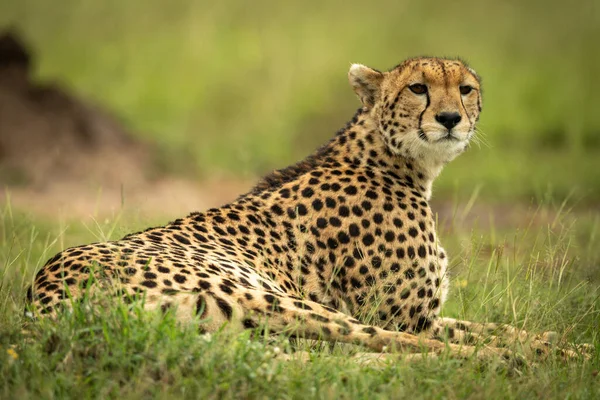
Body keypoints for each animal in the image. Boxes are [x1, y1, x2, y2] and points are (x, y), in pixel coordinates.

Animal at [27, 57, 584, 360]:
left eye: (465, 89)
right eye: (418, 88)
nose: (450, 119)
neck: (395, 160)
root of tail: (45, 301)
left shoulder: (426, 313)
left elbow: (499, 324)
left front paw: (563, 341)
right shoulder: (406, 317)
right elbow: (448, 332)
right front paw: (559, 349)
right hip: (276, 299)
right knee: (386, 344)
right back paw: (502, 360)